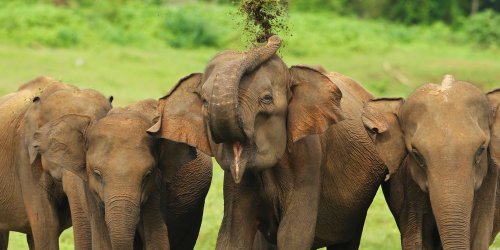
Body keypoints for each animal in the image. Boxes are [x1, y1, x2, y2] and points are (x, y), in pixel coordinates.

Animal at [148, 35, 390, 250]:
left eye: (266, 99)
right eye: (205, 102)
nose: (270, 37)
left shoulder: (309, 160)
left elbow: (293, 235)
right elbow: (233, 234)